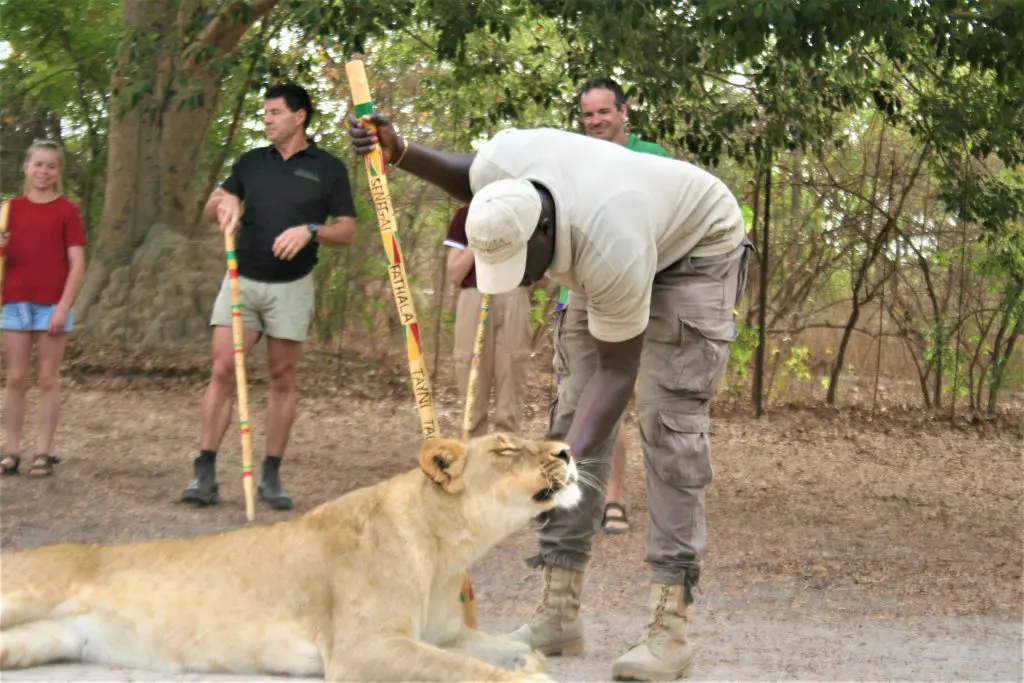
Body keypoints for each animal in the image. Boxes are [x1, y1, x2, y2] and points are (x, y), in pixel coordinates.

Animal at [0, 433, 581, 682]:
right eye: (505, 448)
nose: (567, 449)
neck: (448, 548)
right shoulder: (361, 649)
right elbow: (466, 671)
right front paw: (529, 677)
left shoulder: (441, 635)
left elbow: (495, 650)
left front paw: (526, 658)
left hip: (44, 640)